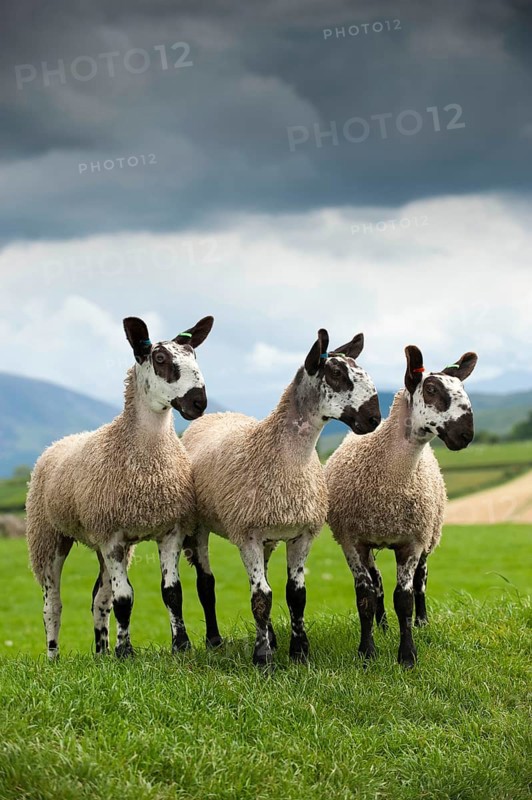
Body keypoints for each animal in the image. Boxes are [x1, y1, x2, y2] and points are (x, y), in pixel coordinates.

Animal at [26, 315, 214, 659]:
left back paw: (101, 653)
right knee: (52, 604)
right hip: (49, 535)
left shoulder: (169, 530)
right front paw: (126, 652)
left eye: (194, 355)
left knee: (99, 597)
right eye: (160, 359)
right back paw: (53, 657)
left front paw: (180, 645)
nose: (199, 401)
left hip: (101, 541)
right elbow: (125, 598)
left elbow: (172, 593)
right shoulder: (111, 536)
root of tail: (61, 441)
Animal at [182, 328, 381, 667]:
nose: (374, 418)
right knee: (207, 583)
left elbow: (294, 594)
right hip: (201, 525)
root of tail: (219, 414)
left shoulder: (302, 533)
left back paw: (272, 638)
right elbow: (261, 598)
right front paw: (263, 659)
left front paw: (299, 652)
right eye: (337, 374)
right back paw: (215, 640)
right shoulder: (246, 533)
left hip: (268, 536)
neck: (285, 458)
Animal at [326, 345, 478, 668]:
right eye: (431, 389)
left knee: (421, 580)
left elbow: (404, 599)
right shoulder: (351, 540)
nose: (466, 434)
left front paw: (407, 655)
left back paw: (422, 622)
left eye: (462, 389)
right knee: (378, 583)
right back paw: (382, 626)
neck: (392, 479)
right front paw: (367, 652)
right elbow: (366, 596)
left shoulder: (412, 541)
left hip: (429, 534)